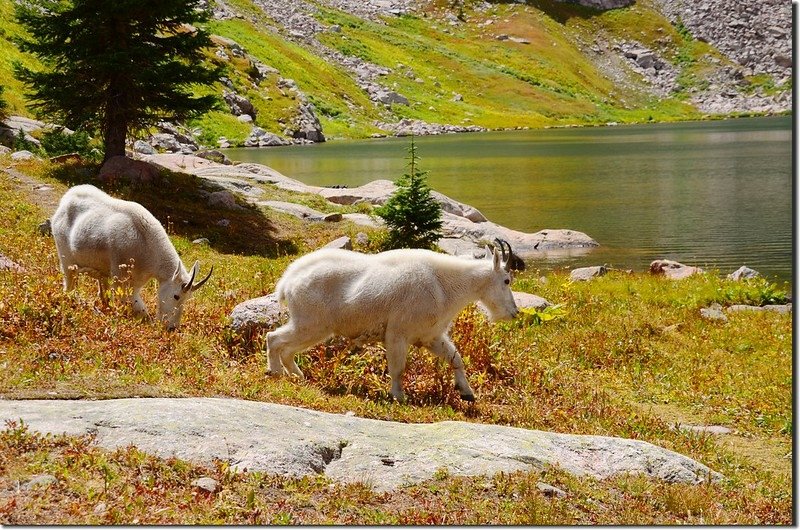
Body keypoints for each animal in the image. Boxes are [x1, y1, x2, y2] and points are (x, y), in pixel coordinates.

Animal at [49, 184, 212, 328]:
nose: (171, 327)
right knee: (69, 282)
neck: (148, 246)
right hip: (66, 257)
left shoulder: (136, 282)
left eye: (188, 298)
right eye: (176, 296)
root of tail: (64, 202)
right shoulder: (121, 279)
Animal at [266, 242, 520, 400]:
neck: (445, 286)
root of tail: (287, 281)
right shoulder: (398, 333)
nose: (514, 312)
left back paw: (297, 376)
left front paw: (467, 393)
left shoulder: (430, 336)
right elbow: (398, 368)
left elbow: (456, 358)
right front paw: (399, 395)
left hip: (312, 326)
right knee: (274, 338)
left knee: (287, 349)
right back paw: (275, 373)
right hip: (310, 323)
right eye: (506, 280)